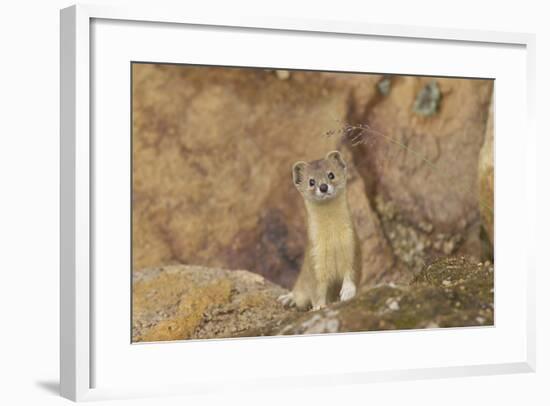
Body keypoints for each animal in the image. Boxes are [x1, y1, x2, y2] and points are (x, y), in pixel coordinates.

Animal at [280, 150, 362, 310]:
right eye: (311, 181)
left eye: (331, 174)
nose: (323, 187)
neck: (333, 239)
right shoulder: (315, 257)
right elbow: (317, 289)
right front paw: (318, 306)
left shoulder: (352, 244)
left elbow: (352, 272)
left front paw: (347, 291)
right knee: (299, 291)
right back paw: (288, 298)